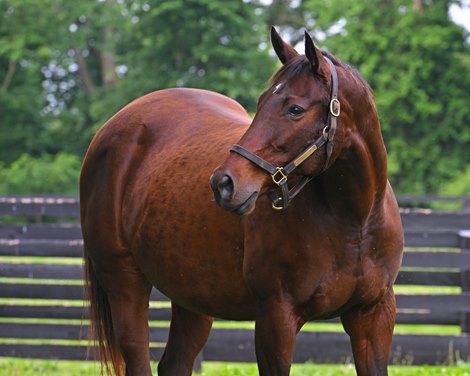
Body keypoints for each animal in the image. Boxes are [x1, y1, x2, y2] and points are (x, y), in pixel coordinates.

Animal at [81, 27, 404, 374]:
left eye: (295, 109)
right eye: (261, 102)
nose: (224, 183)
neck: (354, 222)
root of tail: (109, 130)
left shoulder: (373, 318)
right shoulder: (276, 319)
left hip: (193, 297)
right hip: (125, 282)